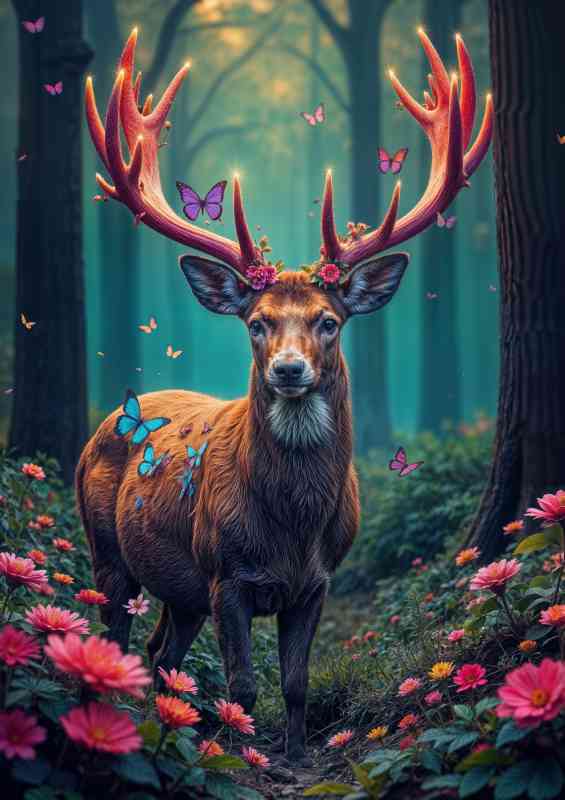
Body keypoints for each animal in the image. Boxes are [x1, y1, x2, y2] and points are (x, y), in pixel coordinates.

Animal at [77, 27, 492, 765]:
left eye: (330, 321)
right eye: (256, 322)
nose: (290, 370)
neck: (290, 528)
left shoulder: (317, 581)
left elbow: (296, 682)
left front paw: (296, 755)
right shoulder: (226, 574)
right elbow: (243, 684)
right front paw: (246, 754)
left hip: (179, 587)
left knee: (160, 651)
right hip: (107, 548)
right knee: (117, 639)